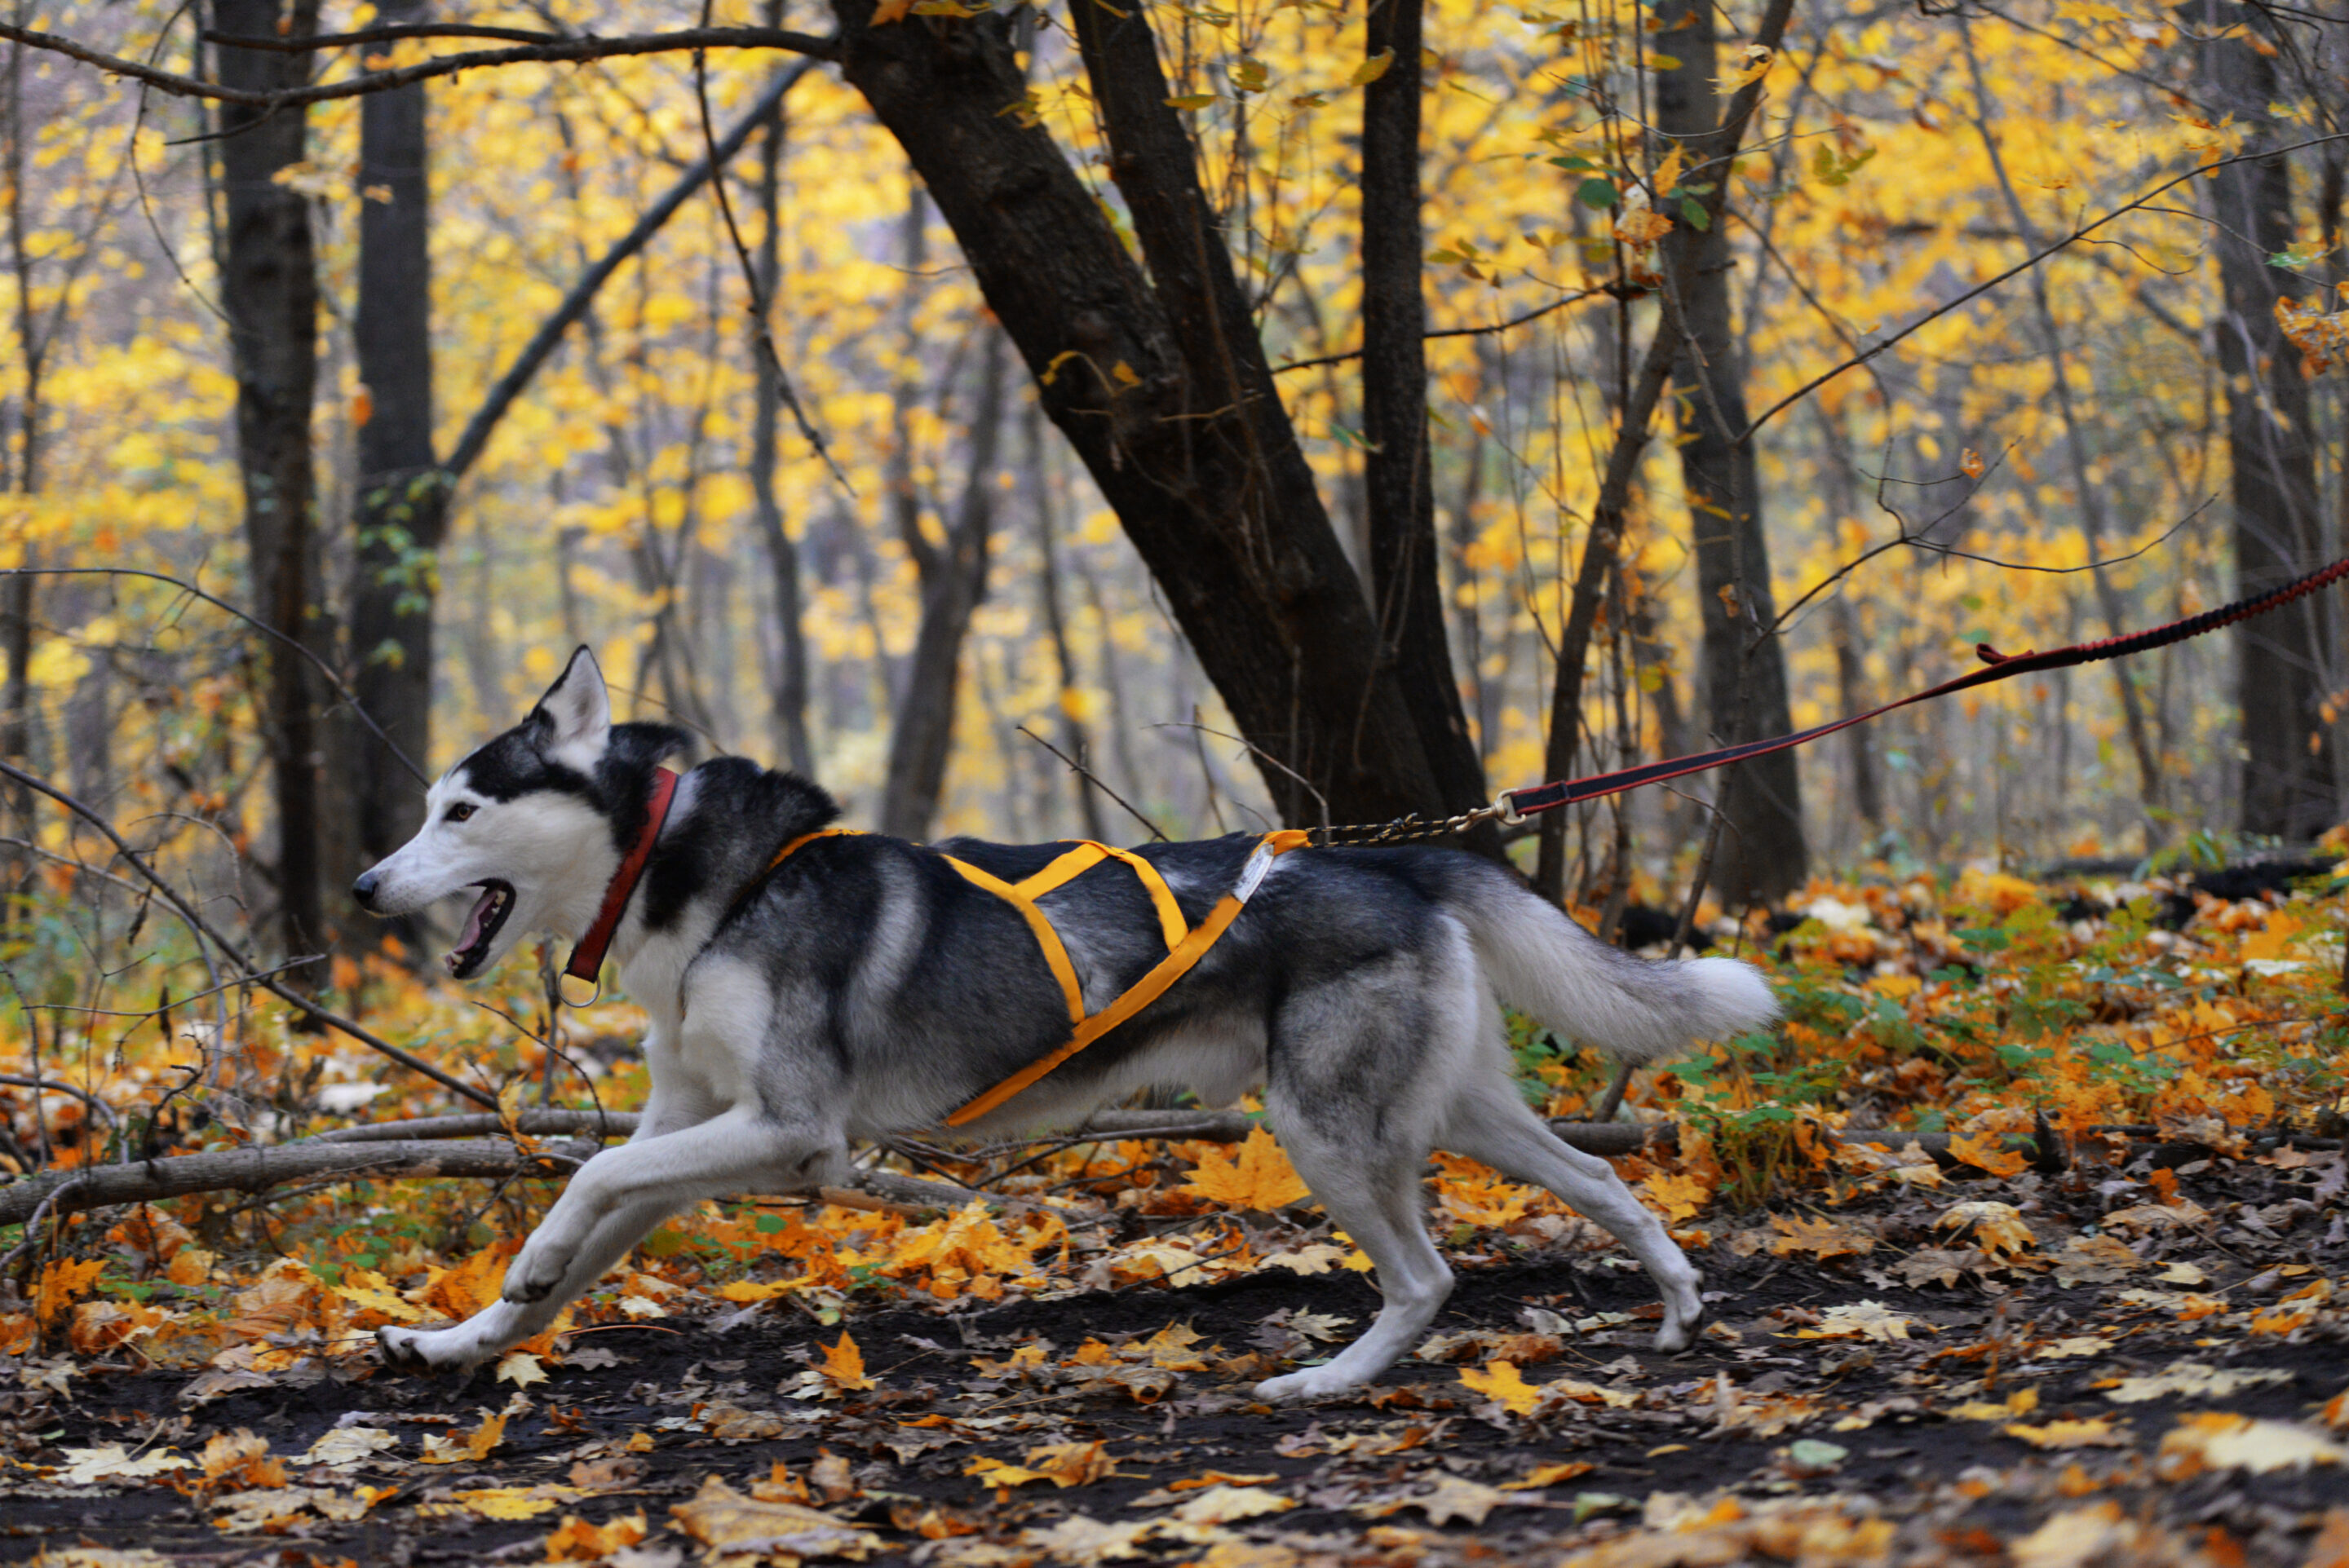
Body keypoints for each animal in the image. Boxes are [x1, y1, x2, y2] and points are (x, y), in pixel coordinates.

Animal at [352, 647, 1776, 1398]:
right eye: (421, 809)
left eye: (461, 811)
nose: (365, 886)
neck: (712, 885)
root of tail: (1401, 858)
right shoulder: (696, 1124)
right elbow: (585, 1217)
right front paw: (471, 1330)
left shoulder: (792, 1132)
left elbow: (586, 1172)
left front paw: (522, 1279)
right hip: (1459, 1107)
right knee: (1604, 1176)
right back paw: (1674, 1299)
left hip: (1325, 1125)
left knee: (1428, 1275)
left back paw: (1327, 1380)